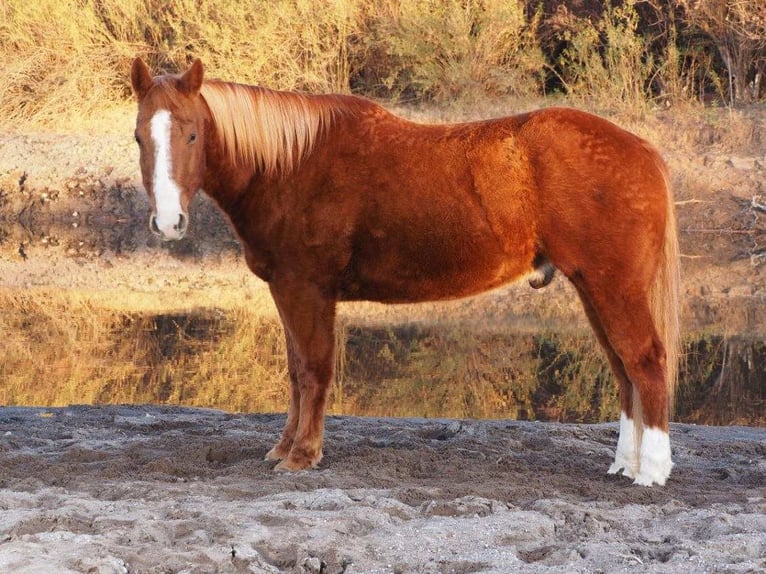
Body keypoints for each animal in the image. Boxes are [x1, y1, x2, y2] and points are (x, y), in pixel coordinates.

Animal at [130, 57, 684, 486]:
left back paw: (651, 472)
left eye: (193, 134)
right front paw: (283, 448)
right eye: (139, 137)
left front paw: (302, 456)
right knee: (624, 370)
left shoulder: (307, 290)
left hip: (614, 287)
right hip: (594, 288)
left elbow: (313, 370)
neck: (288, 165)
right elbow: (294, 372)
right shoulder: (287, 292)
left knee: (646, 362)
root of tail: (643, 150)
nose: (168, 222)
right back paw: (624, 464)